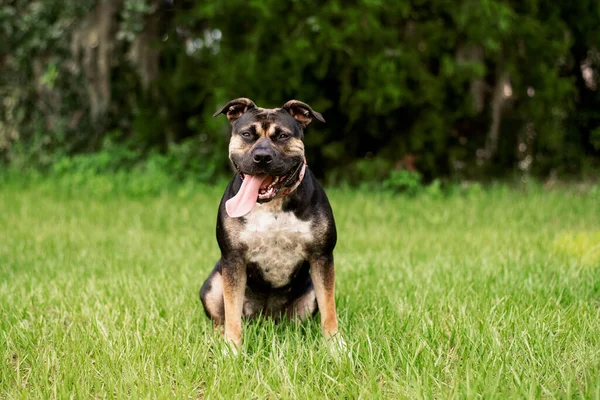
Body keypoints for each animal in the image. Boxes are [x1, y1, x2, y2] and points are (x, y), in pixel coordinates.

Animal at [202, 97, 340, 350]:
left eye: (282, 136)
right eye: (247, 134)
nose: (262, 156)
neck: (272, 204)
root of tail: (265, 318)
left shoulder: (322, 257)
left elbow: (329, 308)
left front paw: (335, 346)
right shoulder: (233, 259)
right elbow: (231, 311)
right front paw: (232, 349)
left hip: (308, 296)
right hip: (213, 283)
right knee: (220, 317)